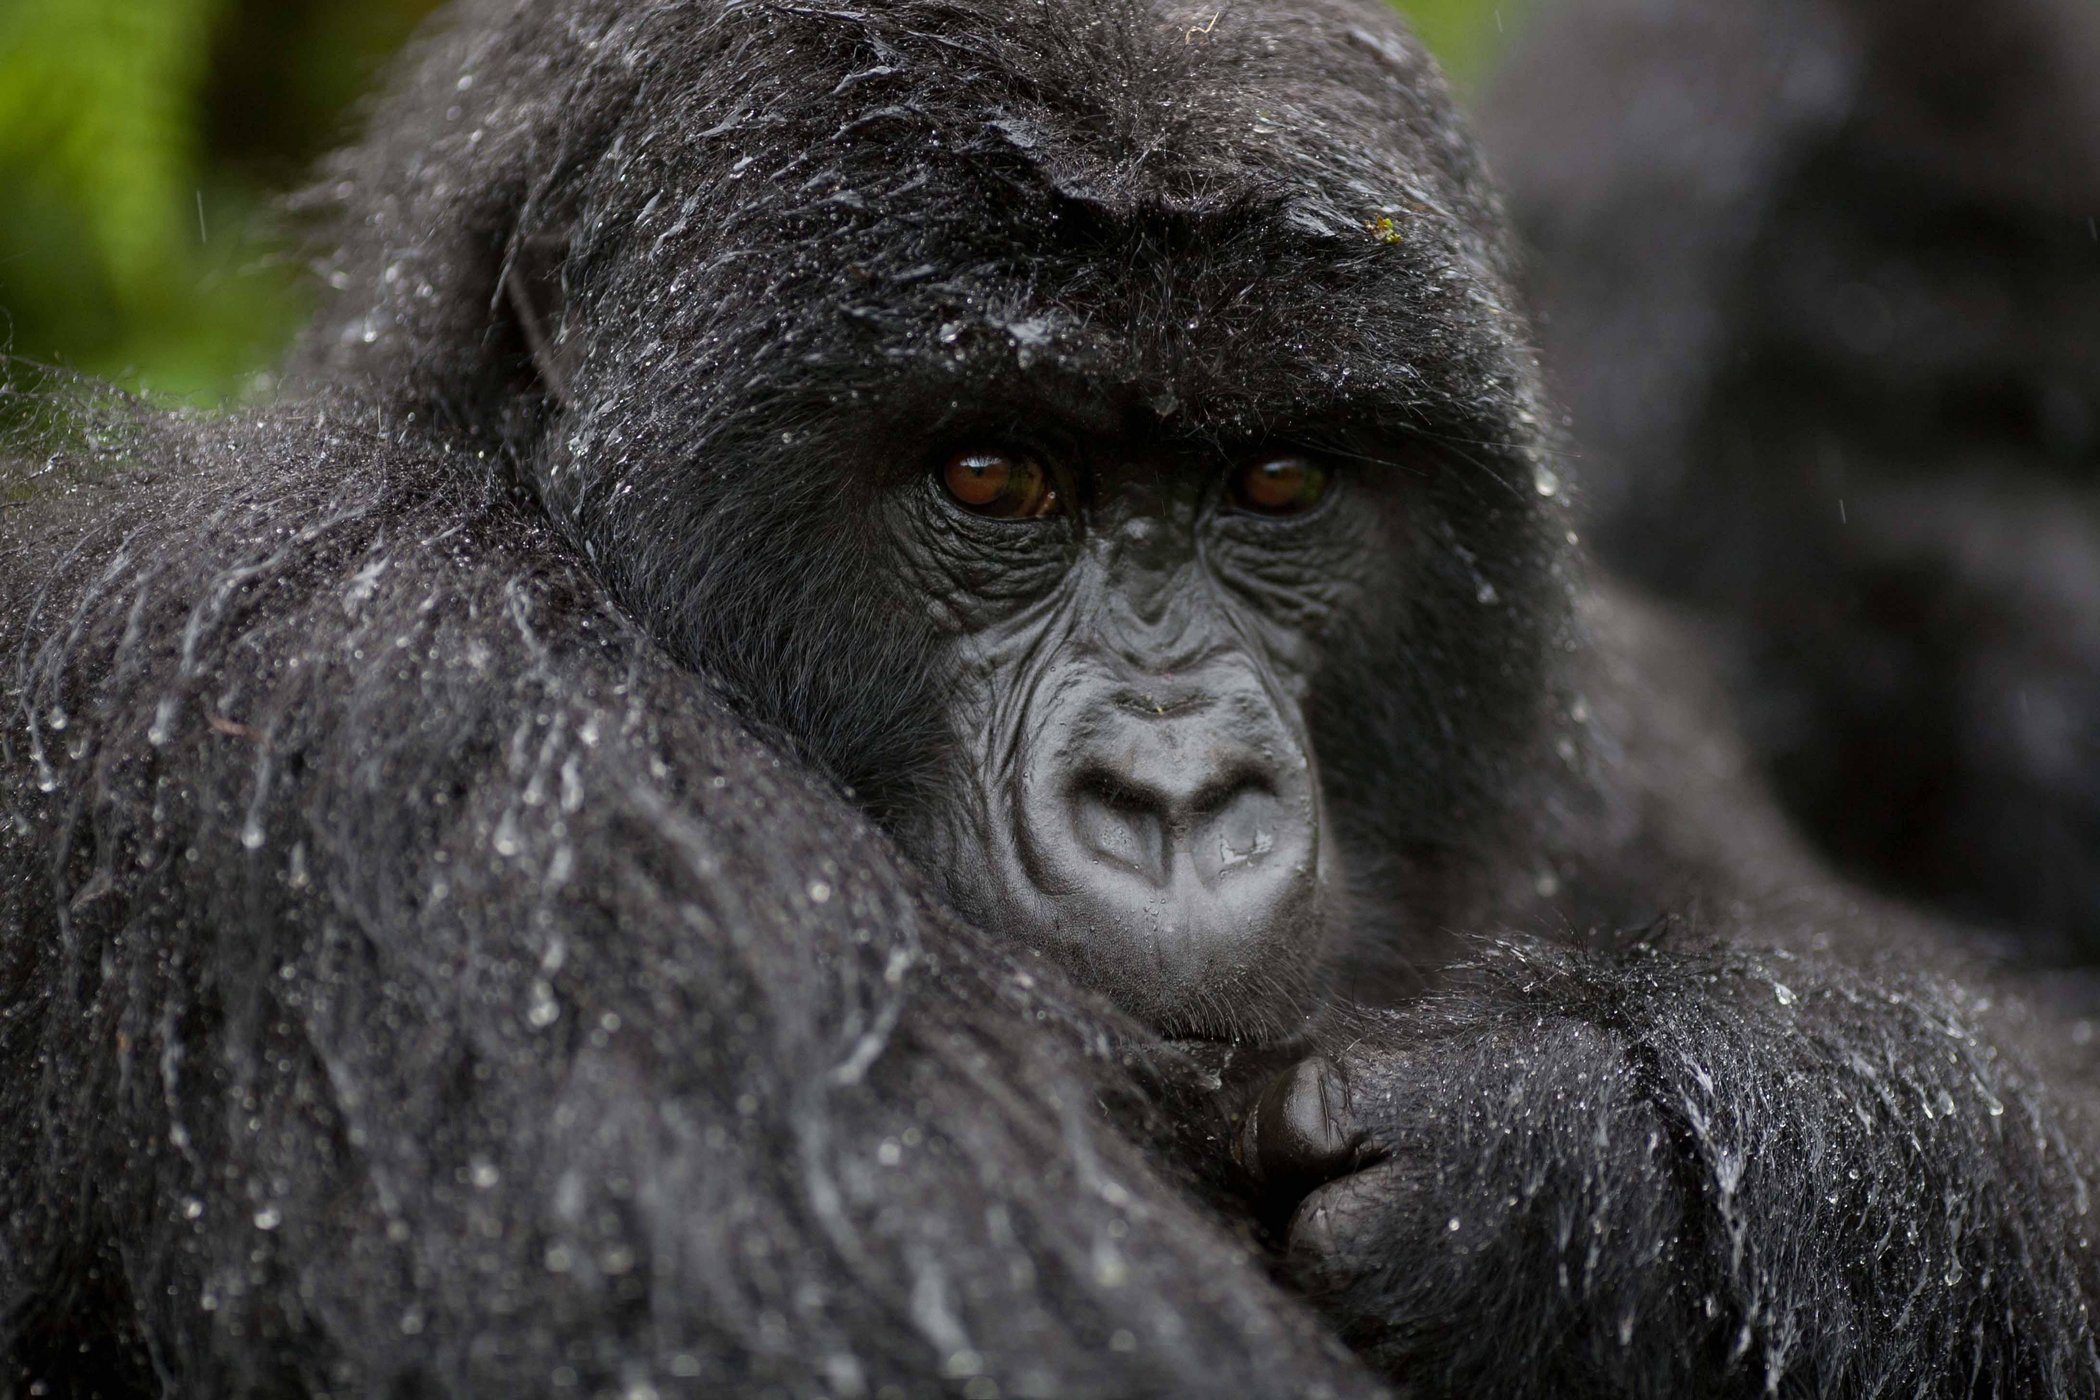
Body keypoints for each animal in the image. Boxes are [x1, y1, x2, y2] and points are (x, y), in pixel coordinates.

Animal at [0, 0, 2091, 1393]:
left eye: (1279, 485)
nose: (1176, 798)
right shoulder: (391, 688)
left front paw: (1585, 1165)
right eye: (994, 478)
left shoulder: (1603, 719)